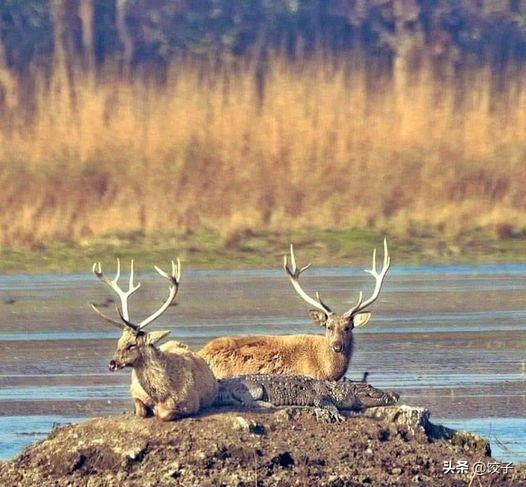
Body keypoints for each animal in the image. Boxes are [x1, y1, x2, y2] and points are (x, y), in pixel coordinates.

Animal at [93, 258, 219, 422]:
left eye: (132, 345)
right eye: (118, 342)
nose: (112, 364)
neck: (161, 395)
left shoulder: (192, 404)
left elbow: (164, 414)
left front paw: (157, 410)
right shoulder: (135, 392)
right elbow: (140, 411)